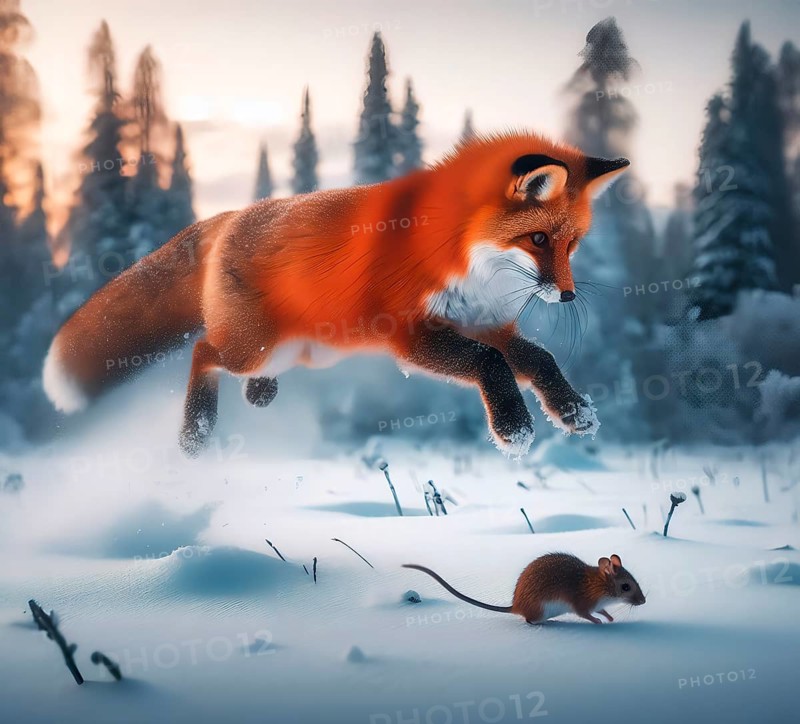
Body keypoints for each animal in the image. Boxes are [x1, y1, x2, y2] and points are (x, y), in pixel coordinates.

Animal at [43, 131, 629, 457]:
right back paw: (196, 432)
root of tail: (232, 215)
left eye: (573, 244)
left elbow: (538, 358)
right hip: (253, 346)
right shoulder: (409, 335)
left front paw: (574, 410)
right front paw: (513, 427)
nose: (568, 297)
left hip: (302, 351)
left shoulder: (488, 324)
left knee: (234, 367)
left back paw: (258, 395)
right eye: (538, 239)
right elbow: (490, 364)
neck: (465, 259)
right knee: (203, 351)